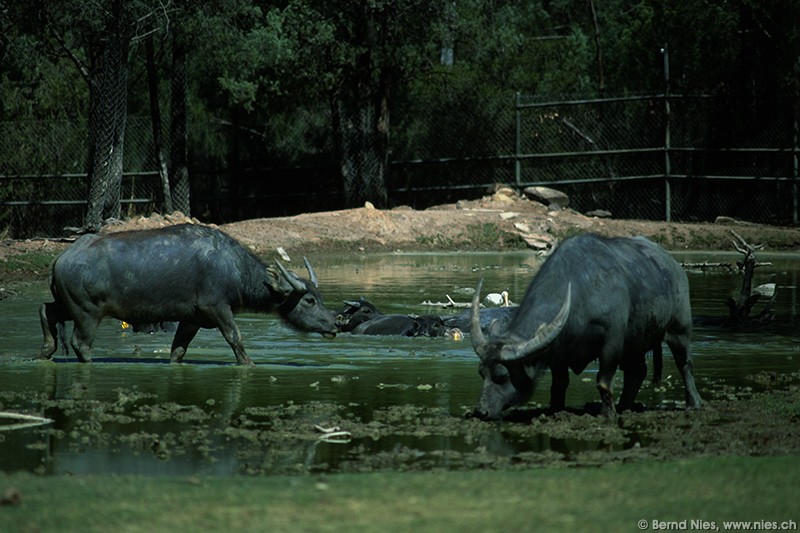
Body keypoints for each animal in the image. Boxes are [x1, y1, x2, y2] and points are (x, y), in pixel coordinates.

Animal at [39, 222, 338, 364]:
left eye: (321, 298)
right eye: (310, 300)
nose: (336, 323)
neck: (233, 268)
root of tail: (62, 258)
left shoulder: (192, 319)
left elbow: (178, 351)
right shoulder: (216, 308)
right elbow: (236, 338)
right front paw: (250, 364)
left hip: (67, 305)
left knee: (46, 310)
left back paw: (45, 351)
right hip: (87, 313)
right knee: (80, 344)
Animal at [472, 233, 704, 420]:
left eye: (502, 376)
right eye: (481, 373)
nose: (481, 412)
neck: (580, 290)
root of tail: (673, 266)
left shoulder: (612, 341)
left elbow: (603, 381)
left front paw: (607, 414)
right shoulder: (558, 352)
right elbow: (559, 385)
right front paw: (555, 411)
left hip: (679, 329)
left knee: (685, 364)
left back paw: (694, 403)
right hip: (635, 342)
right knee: (637, 371)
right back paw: (624, 406)